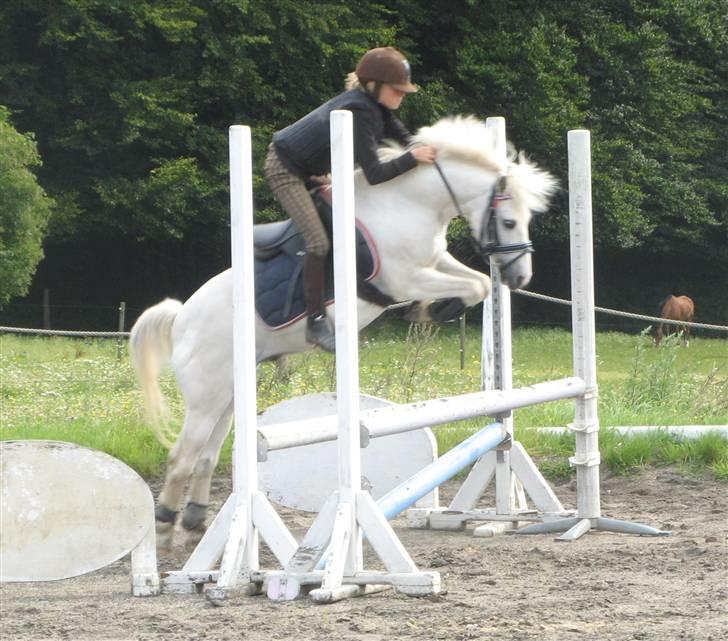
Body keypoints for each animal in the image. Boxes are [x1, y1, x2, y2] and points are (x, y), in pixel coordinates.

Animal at [129, 116, 558, 550]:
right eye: (508, 221)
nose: (521, 279)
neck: (408, 203)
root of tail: (182, 319)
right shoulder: (406, 278)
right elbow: (472, 286)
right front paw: (432, 310)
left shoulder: (435, 262)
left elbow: (478, 284)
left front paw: (431, 311)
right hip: (206, 396)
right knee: (182, 456)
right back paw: (164, 528)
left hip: (230, 396)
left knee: (207, 455)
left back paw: (194, 522)